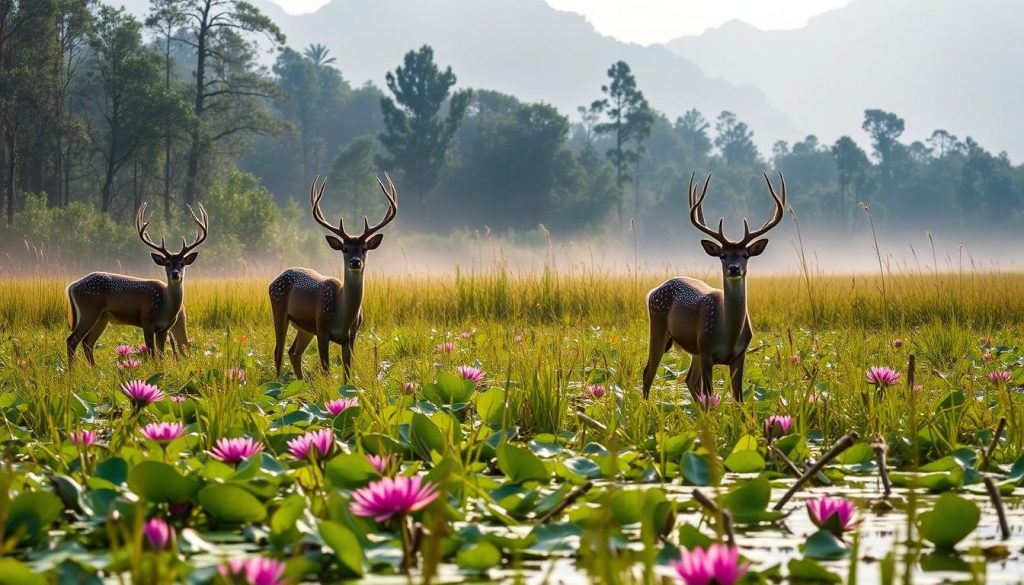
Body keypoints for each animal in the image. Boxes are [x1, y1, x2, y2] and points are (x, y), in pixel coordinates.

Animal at [66, 204, 208, 366]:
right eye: (167, 263)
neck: (165, 306)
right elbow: (152, 352)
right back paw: (72, 370)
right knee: (72, 340)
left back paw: (94, 368)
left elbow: (160, 354)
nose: (175, 274)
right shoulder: (147, 320)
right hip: (89, 311)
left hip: (102, 317)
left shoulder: (164, 328)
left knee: (87, 342)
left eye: (182, 263)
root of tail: (72, 286)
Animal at [270, 174, 398, 381]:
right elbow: (326, 369)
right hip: (279, 309)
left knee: (294, 352)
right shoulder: (322, 329)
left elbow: (347, 372)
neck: (342, 316)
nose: (355, 262)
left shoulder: (351, 337)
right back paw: (279, 384)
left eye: (364, 248)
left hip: (304, 328)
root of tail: (276, 278)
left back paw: (300, 383)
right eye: (345, 249)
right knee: (278, 352)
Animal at [641, 172, 786, 404]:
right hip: (659, 327)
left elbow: (738, 398)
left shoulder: (739, 354)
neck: (728, 334)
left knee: (689, 380)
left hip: (693, 350)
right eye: (723, 255)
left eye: (745, 255)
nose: (734, 269)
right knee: (648, 372)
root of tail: (654, 290)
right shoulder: (707, 349)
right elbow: (709, 396)